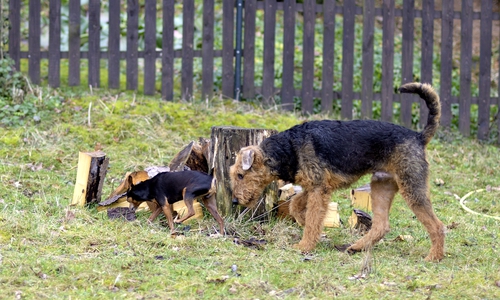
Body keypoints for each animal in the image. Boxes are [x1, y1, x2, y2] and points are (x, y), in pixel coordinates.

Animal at [230, 82, 446, 260]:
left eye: (241, 175)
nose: (234, 201)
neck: (289, 148)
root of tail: (418, 136)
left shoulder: (319, 189)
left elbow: (312, 216)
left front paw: (304, 245)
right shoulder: (315, 187)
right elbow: (296, 206)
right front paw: (307, 225)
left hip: (412, 188)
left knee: (437, 226)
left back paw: (433, 257)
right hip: (381, 186)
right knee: (381, 225)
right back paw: (356, 247)